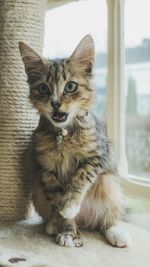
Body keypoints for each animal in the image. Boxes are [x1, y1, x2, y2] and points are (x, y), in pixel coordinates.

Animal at [19, 34, 131, 248]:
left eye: (70, 86)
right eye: (43, 88)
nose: (55, 103)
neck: (64, 133)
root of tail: (86, 223)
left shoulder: (98, 156)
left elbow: (81, 177)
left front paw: (70, 205)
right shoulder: (46, 169)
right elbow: (59, 203)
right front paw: (68, 231)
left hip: (109, 183)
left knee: (106, 221)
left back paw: (116, 233)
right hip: (37, 189)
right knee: (54, 215)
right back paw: (54, 225)